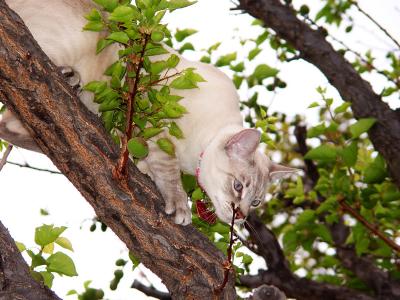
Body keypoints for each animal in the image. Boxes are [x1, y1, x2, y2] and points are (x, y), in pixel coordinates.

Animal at [0, 0, 296, 225]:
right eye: (238, 187)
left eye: (255, 202)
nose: (242, 216)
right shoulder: (158, 123)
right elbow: (169, 170)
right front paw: (180, 207)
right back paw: (69, 78)